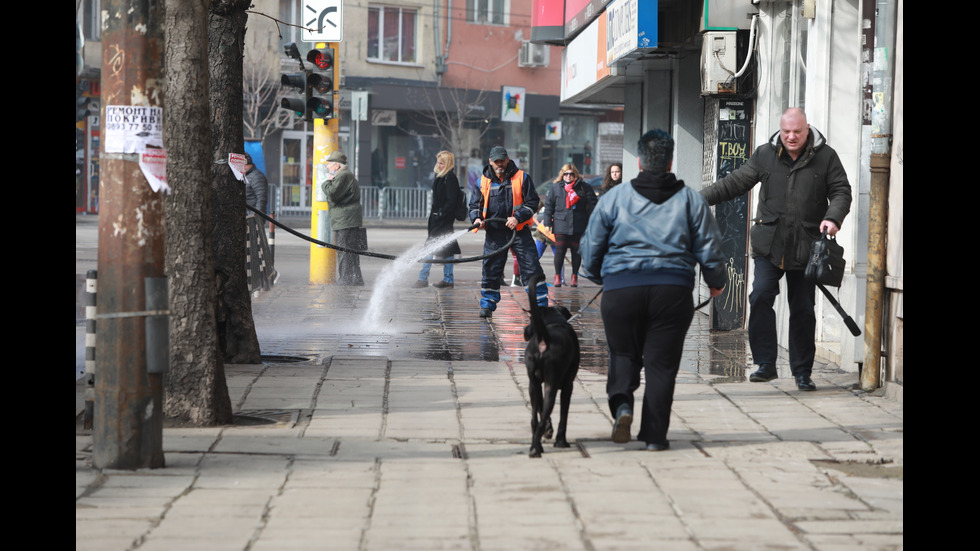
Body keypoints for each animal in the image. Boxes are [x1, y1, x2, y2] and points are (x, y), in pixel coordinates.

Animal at [524, 274, 580, 460]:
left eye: (530, 320)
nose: (525, 331)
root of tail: (544, 337)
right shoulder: (568, 385)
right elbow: (564, 415)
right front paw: (561, 441)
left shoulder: (536, 383)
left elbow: (541, 411)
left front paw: (549, 430)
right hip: (552, 384)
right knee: (543, 415)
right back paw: (536, 449)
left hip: (533, 385)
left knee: (535, 419)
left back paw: (537, 444)